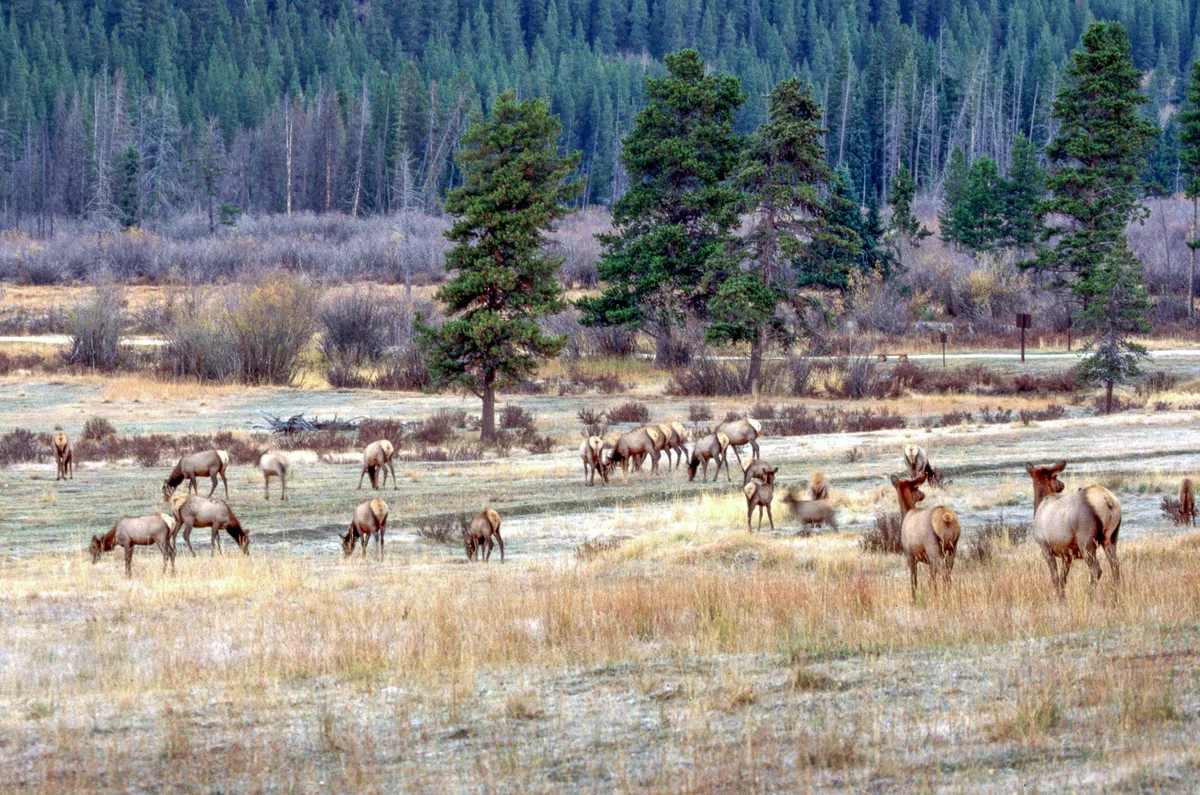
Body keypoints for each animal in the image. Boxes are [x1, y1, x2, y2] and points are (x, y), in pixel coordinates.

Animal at [1025, 461, 1122, 599]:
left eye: (1055, 476)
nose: (1062, 484)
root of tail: (1108, 501)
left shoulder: (1045, 548)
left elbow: (1055, 578)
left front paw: (1060, 598)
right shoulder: (1067, 555)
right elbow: (1063, 579)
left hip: (1086, 541)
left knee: (1096, 569)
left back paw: (1089, 596)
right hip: (1111, 537)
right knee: (1115, 565)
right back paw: (1115, 595)